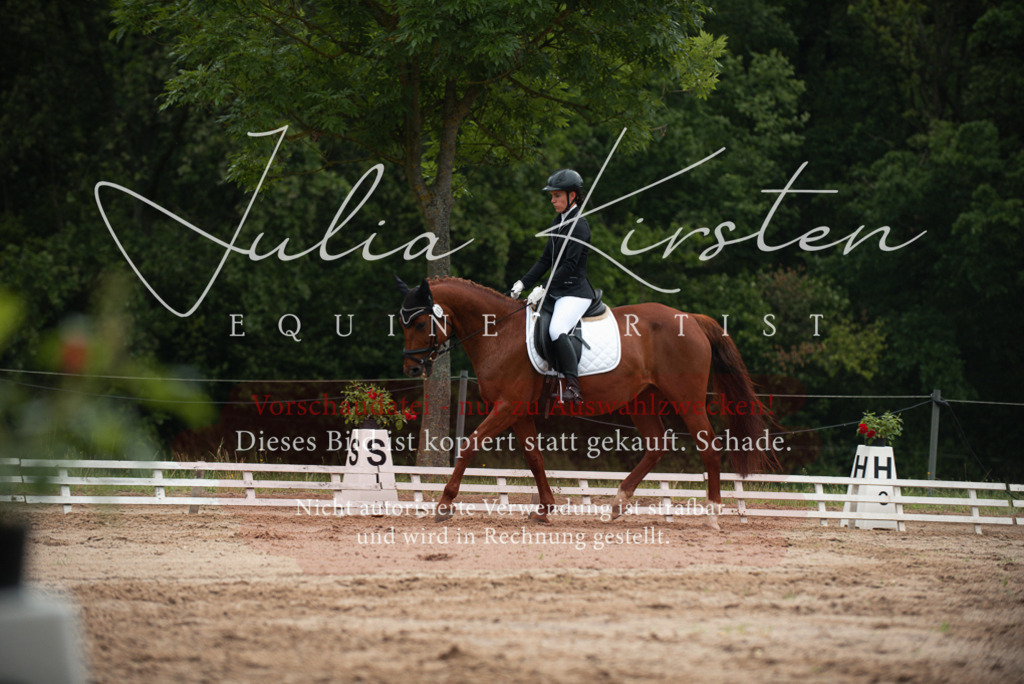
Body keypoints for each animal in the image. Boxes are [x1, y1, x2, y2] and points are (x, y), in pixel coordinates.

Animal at [395, 276, 776, 529]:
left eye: (420, 322)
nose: (412, 368)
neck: (498, 333)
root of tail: (691, 319)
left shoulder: (507, 407)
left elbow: (470, 445)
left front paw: (444, 504)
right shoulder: (518, 413)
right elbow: (534, 458)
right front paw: (545, 509)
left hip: (686, 397)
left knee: (708, 445)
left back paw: (712, 514)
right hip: (641, 400)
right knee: (656, 445)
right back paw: (618, 504)